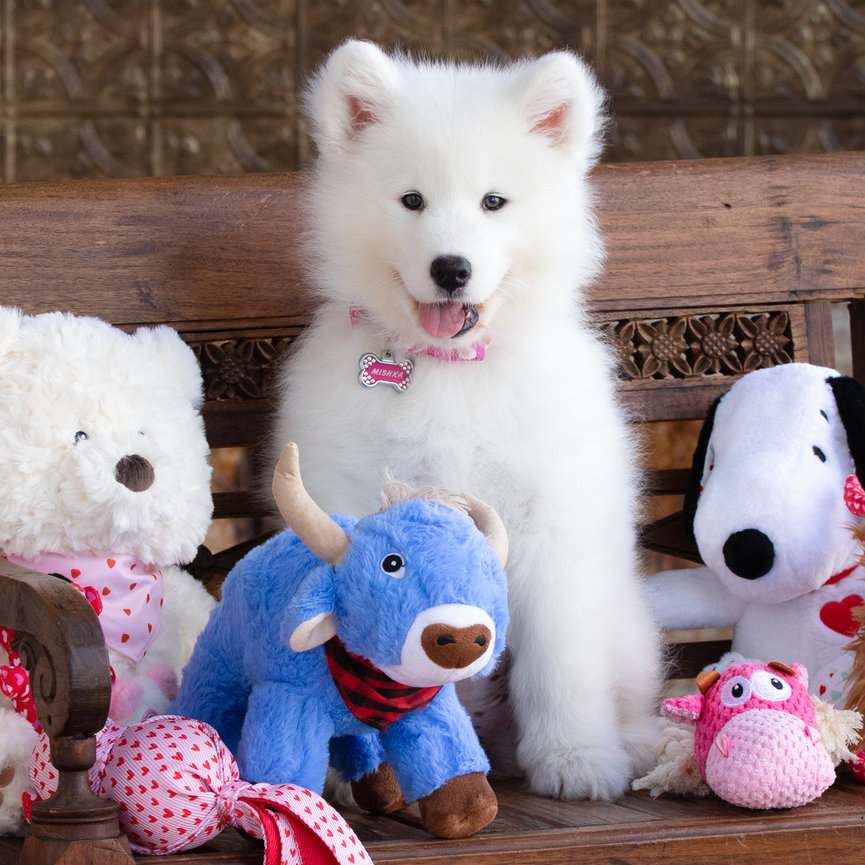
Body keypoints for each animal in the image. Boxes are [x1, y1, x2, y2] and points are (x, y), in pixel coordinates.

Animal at [270, 40, 662, 800]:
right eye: (411, 200)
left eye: (493, 202)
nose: (450, 269)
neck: (451, 370)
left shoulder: (550, 525)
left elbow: (560, 663)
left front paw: (575, 758)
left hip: (628, 632)